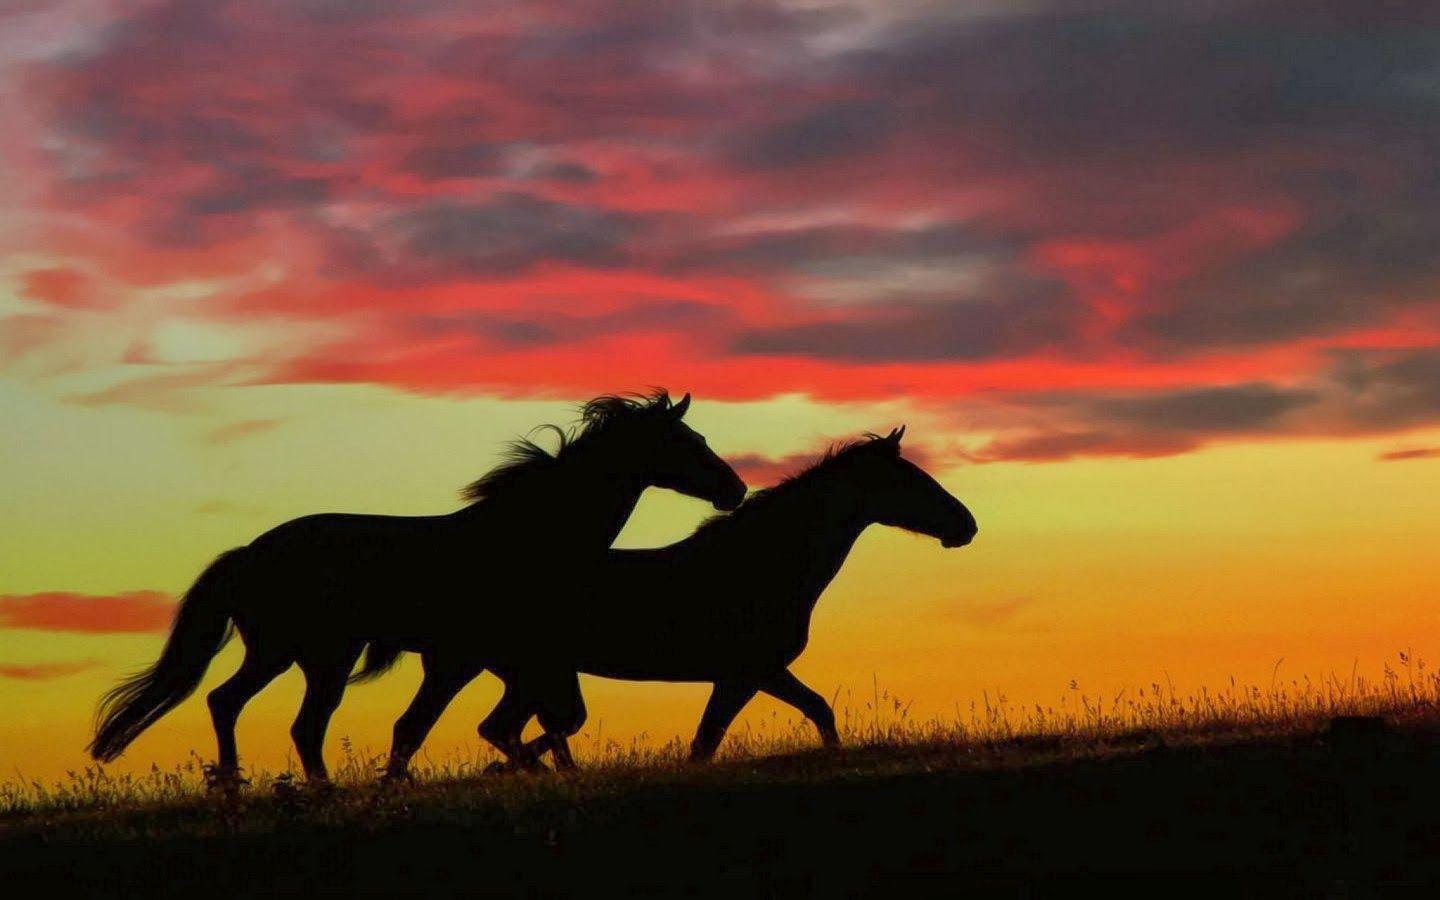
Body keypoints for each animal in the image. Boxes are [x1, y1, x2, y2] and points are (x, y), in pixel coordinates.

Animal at [88, 391, 746, 784]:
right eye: (689, 441)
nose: (735, 489)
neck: (525, 537)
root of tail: (250, 553)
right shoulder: (470, 659)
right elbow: (438, 726)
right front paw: (405, 784)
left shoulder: (498, 661)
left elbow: (511, 724)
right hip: (314, 655)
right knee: (284, 718)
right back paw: (291, 789)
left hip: (292, 654)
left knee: (238, 705)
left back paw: (240, 786)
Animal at [381, 426, 977, 777]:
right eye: (912, 479)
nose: (966, 526)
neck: (765, 563)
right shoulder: (748, 672)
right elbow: (716, 739)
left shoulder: (751, 674)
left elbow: (807, 713)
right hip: (490, 670)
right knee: (472, 729)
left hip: (523, 675)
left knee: (506, 729)